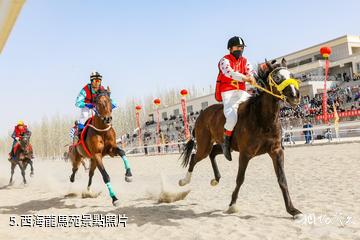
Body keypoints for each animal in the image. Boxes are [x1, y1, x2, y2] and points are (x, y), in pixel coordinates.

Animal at [179, 58, 302, 218]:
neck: (262, 119)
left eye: (291, 74)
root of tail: (201, 114)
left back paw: (216, 179)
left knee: (213, 153)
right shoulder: (245, 154)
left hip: (225, 146)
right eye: (276, 77)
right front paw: (232, 205)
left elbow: (282, 179)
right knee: (195, 157)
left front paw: (292, 210)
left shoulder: (276, 151)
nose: (295, 95)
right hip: (204, 145)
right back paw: (184, 181)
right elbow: (240, 179)